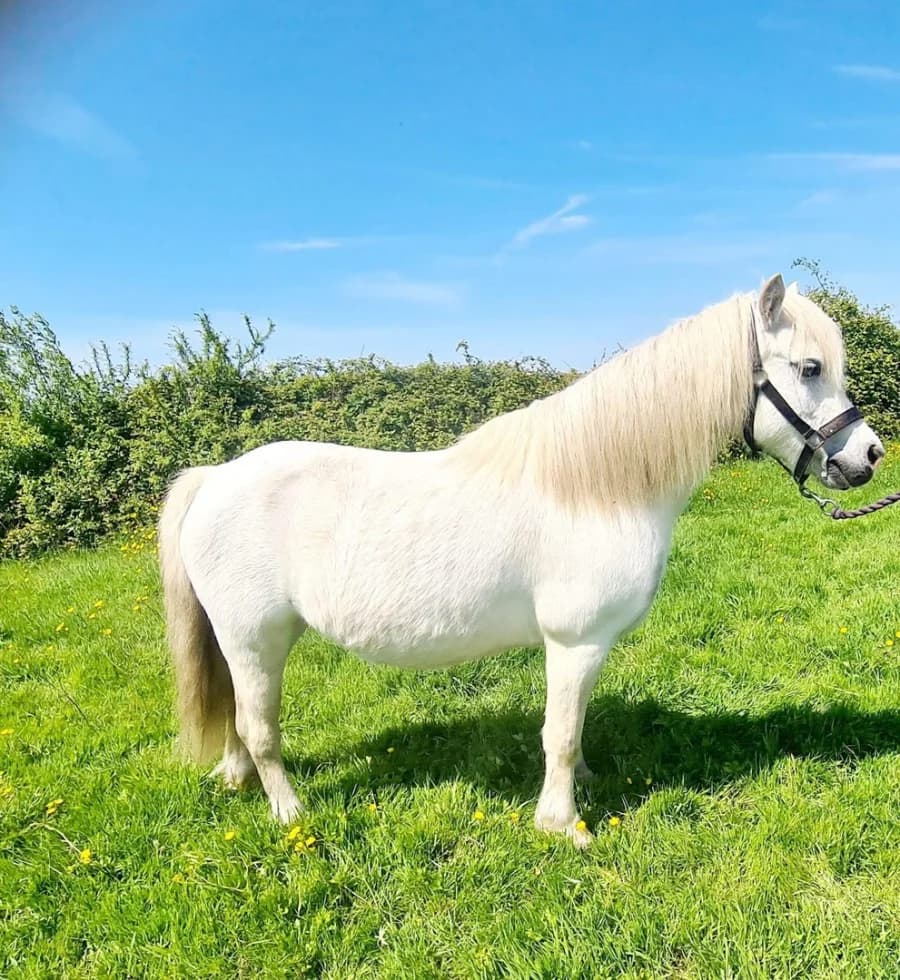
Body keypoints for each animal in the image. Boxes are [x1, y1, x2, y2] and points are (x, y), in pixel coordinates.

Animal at [158, 274, 885, 846]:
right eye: (810, 368)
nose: (868, 457)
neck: (600, 486)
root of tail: (214, 478)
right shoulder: (575, 640)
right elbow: (558, 732)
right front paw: (563, 824)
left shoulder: (583, 650)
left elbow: (575, 724)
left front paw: (583, 781)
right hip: (257, 639)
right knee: (257, 726)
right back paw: (289, 812)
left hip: (240, 642)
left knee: (236, 719)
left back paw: (236, 781)